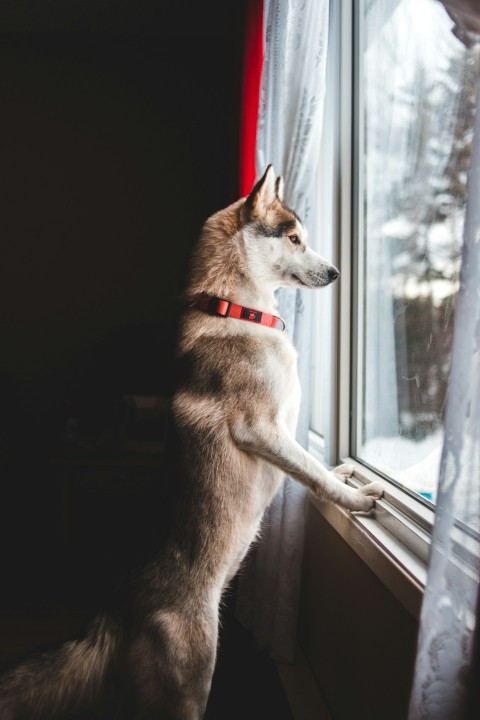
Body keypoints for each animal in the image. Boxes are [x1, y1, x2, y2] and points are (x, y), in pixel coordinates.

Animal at [0, 166, 382, 716]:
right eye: (295, 239)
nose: (333, 273)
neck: (235, 309)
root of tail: (119, 602)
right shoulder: (262, 429)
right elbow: (311, 474)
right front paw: (353, 496)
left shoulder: (283, 431)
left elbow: (316, 466)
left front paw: (345, 472)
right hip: (193, 678)